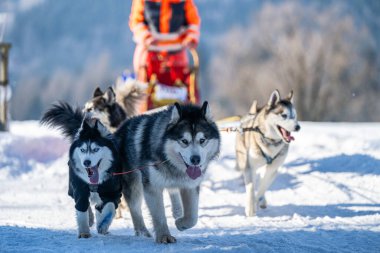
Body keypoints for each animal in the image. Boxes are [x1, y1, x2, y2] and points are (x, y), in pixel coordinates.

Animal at [117, 102, 221, 243]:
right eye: (184, 141)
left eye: (202, 140)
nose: (195, 159)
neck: (172, 165)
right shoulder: (152, 186)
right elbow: (159, 215)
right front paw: (164, 236)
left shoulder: (190, 186)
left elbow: (192, 217)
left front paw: (180, 224)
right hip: (134, 183)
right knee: (135, 208)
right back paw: (142, 232)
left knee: (173, 192)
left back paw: (177, 211)